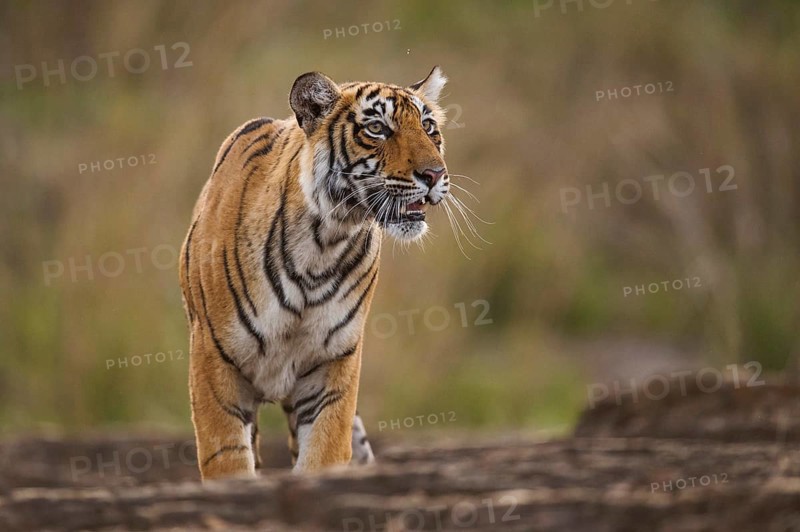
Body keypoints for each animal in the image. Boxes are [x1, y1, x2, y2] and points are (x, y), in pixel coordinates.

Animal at [179, 66, 450, 480]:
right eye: (377, 128)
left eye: (428, 126)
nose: (434, 174)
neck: (325, 244)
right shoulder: (213, 359)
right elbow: (227, 458)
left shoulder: (333, 364)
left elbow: (323, 453)